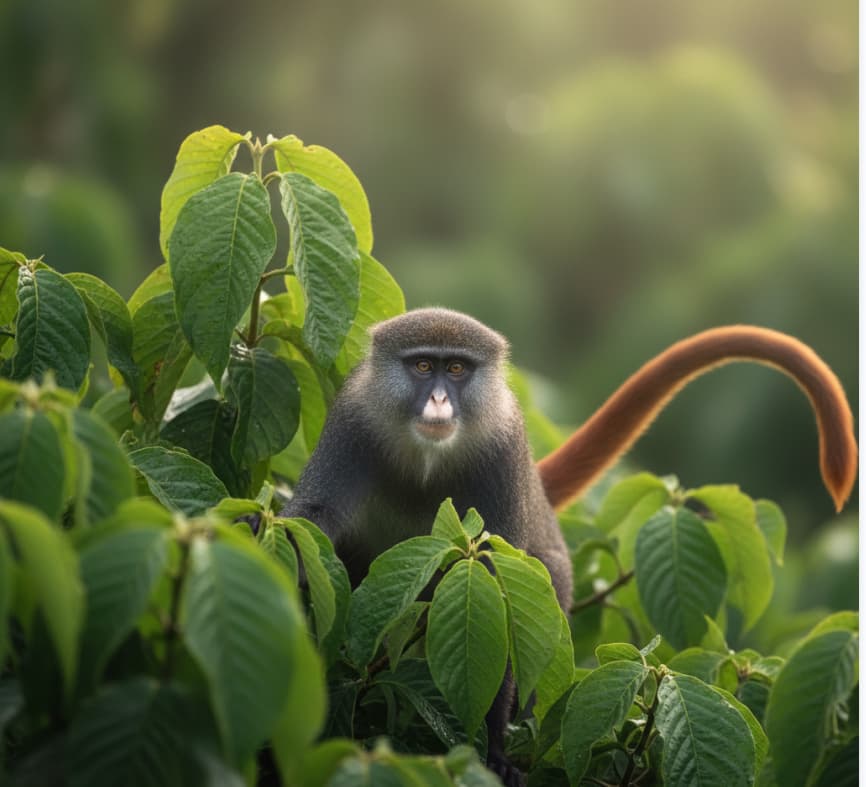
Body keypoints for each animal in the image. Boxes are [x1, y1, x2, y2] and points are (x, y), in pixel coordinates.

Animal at [278, 308, 857, 786]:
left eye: (457, 370)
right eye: (423, 366)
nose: (439, 399)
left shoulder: (503, 448)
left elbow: (499, 588)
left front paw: (494, 752)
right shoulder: (353, 424)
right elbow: (317, 516)